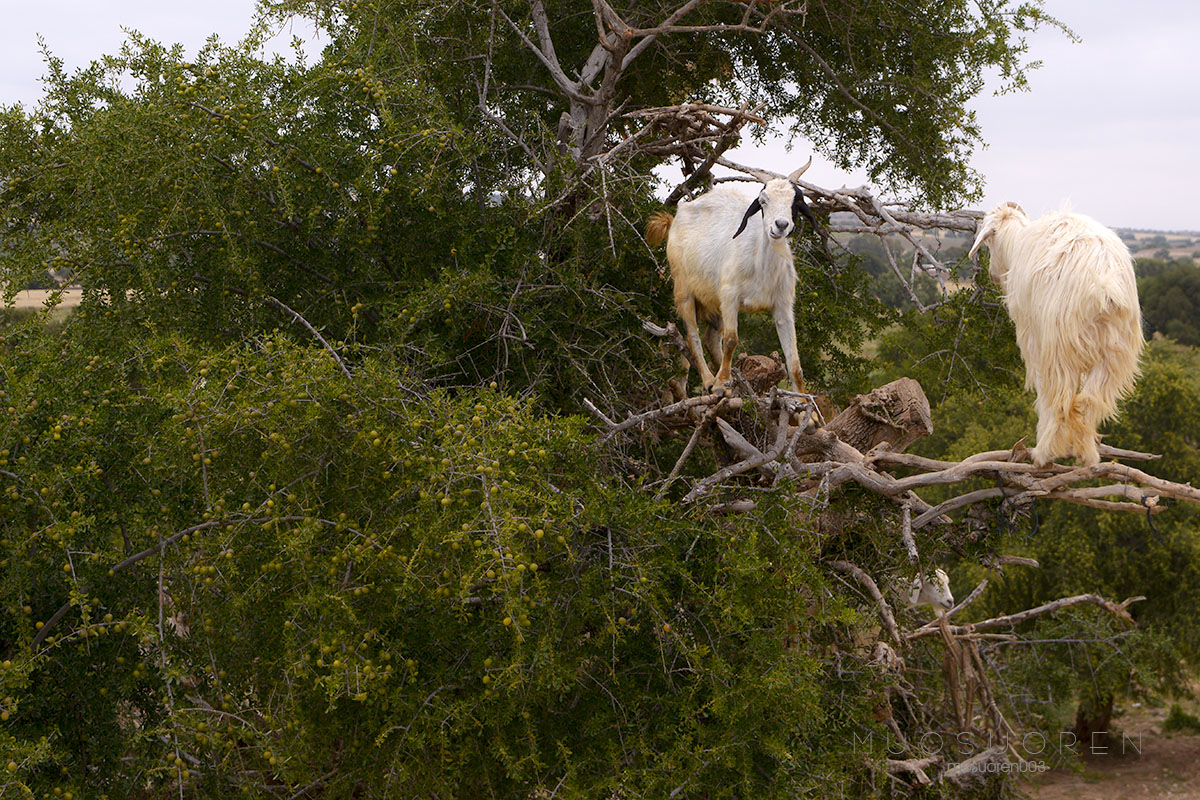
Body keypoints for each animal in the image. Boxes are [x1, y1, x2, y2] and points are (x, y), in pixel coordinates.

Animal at [648, 158, 816, 393]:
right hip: (683, 287)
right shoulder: (730, 297)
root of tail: (676, 218)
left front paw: (805, 403)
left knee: (710, 339)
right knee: (692, 336)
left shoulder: (783, 306)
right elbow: (731, 340)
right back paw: (710, 379)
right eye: (763, 201)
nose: (780, 225)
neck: (760, 265)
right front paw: (721, 383)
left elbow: (795, 365)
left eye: (796, 201)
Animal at [964, 200, 1142, 472]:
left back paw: (1044, 453)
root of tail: (1104, 282)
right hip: (1114, 352)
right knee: (1089, 400)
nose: (993, 274)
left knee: (1060, 398)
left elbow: (1042, 393)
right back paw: (1087, 455)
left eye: (990, 241)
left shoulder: (1032, 339)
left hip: (1059, 343)